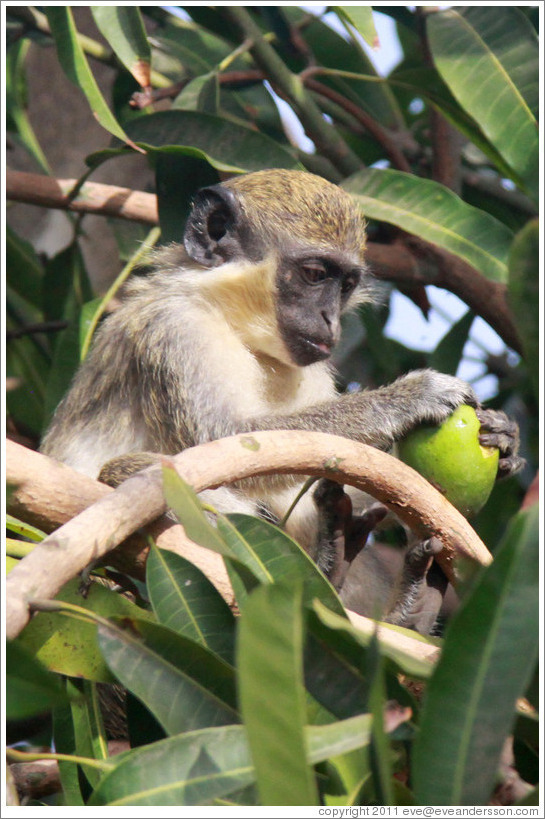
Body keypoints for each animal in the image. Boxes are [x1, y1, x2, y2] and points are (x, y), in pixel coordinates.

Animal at [40, 170, 520, 636]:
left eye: (346, 285)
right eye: (314, 274)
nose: (330, 321)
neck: (234, 322)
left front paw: (503, 438)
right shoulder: (175, 328)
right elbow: (224, 441)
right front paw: (408, 397)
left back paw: (405, 610)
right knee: (137, 473)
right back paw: (338, 571)